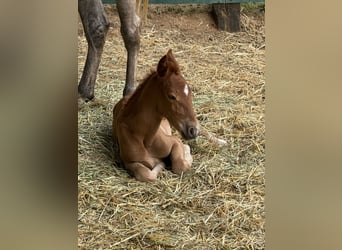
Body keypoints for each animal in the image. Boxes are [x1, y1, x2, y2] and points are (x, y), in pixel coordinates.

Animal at [112, 49, 199, 182]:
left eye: (190, 93)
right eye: (171, 96)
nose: (194, 130)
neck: (146, 138)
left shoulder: (174, 141)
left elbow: (180, 165)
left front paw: (185, 155)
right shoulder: (128, 162)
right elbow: (146, 174)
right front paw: (161, 163)